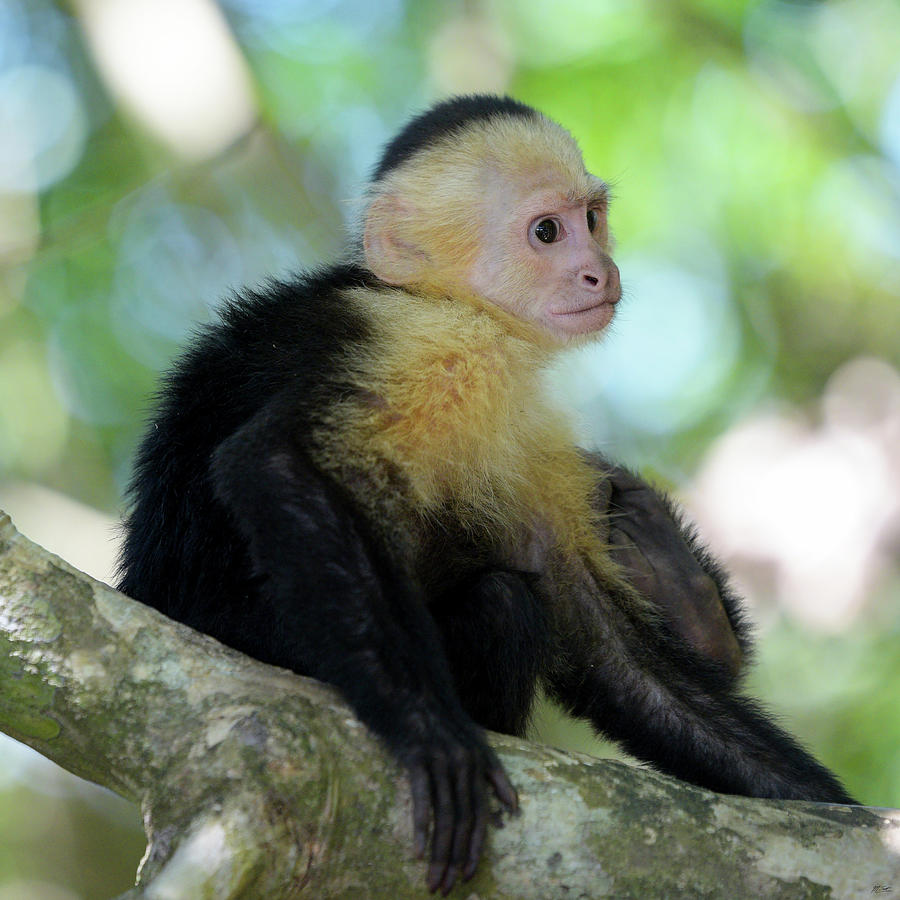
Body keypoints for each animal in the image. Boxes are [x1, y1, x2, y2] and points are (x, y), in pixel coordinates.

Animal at [118, 95, 852, 896]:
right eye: (546, 232)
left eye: (592, 218)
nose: (598, 271)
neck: (459, 308)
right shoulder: (420, 346)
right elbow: (271, 462)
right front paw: (428, 733)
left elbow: (609, 648)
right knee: (504, 603)